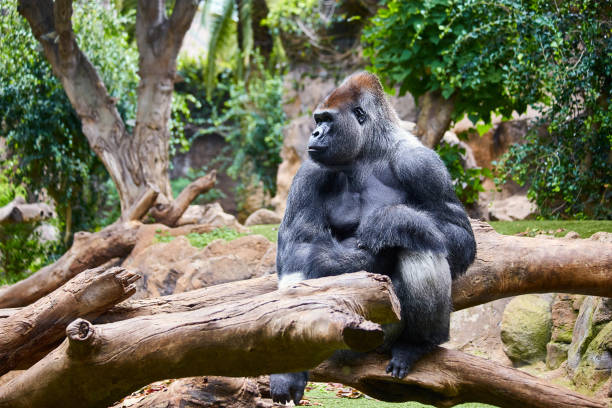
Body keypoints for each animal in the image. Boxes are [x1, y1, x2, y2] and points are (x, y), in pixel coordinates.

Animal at [270, 71, 476, 404]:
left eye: (326, 119)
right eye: (318, 119)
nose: (315, 133)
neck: (370, 150)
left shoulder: (423, 164)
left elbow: (459, 234)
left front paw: (393, 220)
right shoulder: (310, 171)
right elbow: (301, 247)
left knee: (420, 243)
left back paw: (418, 343)